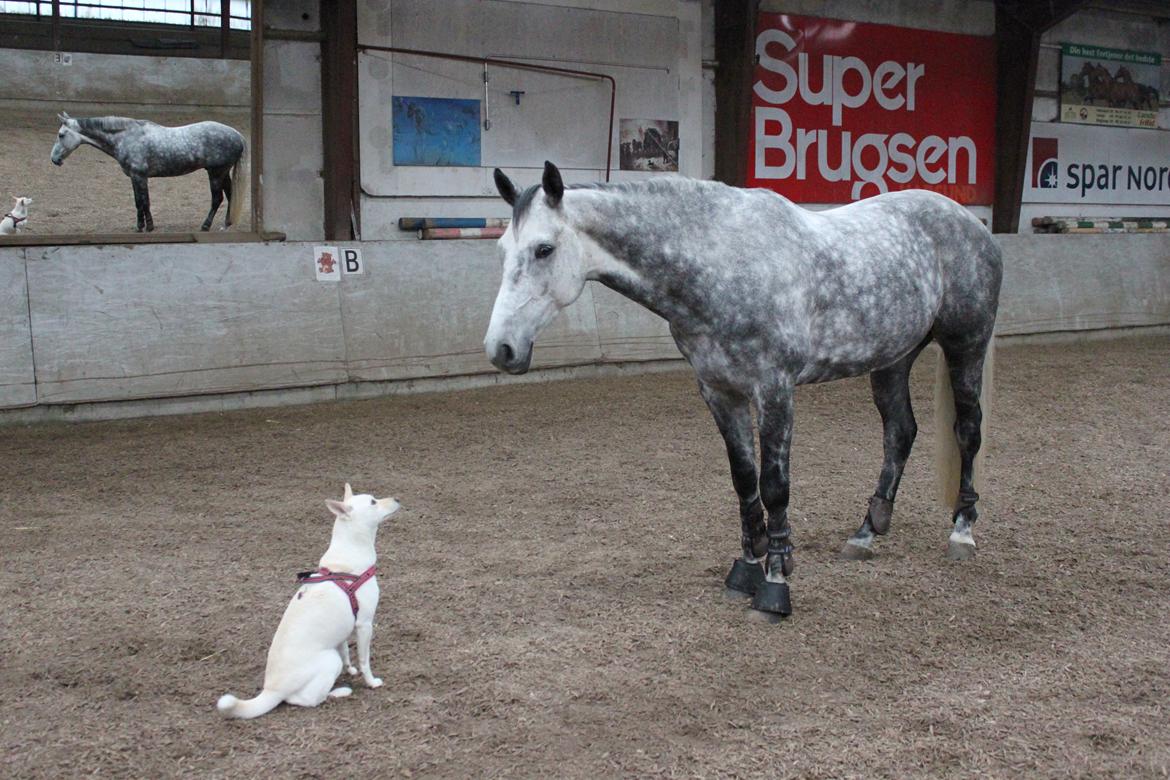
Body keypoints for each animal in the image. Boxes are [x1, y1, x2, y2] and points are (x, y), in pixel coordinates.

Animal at [49, 111, 245, 231]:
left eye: (61, 135)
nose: (54, 159)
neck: (126, 137)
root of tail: (237, 135)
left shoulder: (140, 177)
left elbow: (144, 202)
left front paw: (147, 227)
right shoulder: (135, 178)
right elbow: (139, 202)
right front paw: (141, 226)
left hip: (215, 173)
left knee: (217, 199)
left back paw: (206, 226)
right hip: (223, 173)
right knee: (230, 195)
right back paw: (226, 224)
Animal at [217, 484, 400, 725]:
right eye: (373, 502)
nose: (397, 498)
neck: (348, 554)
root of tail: (271, 690)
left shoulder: (344, 629)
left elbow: (346, 652)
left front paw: (351, 670)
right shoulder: (364, 624)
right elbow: (364, 660)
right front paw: (371, 682)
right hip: (330, 661)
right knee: (307, 700)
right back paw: (340, 692)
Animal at [479, 163, 1001, 622]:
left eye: (544, 249)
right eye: (503, 248)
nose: (501, 349)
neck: (723, 263)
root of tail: (971, 224)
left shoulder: (774, 390)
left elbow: (774, 487)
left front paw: (775, 586)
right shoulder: (719, 391)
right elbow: (744, 480)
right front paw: (746, 572)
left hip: (966, 346)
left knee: (968, 430)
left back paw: (962, 532)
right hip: (893, 360)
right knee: (900, 433)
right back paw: (866, 534)